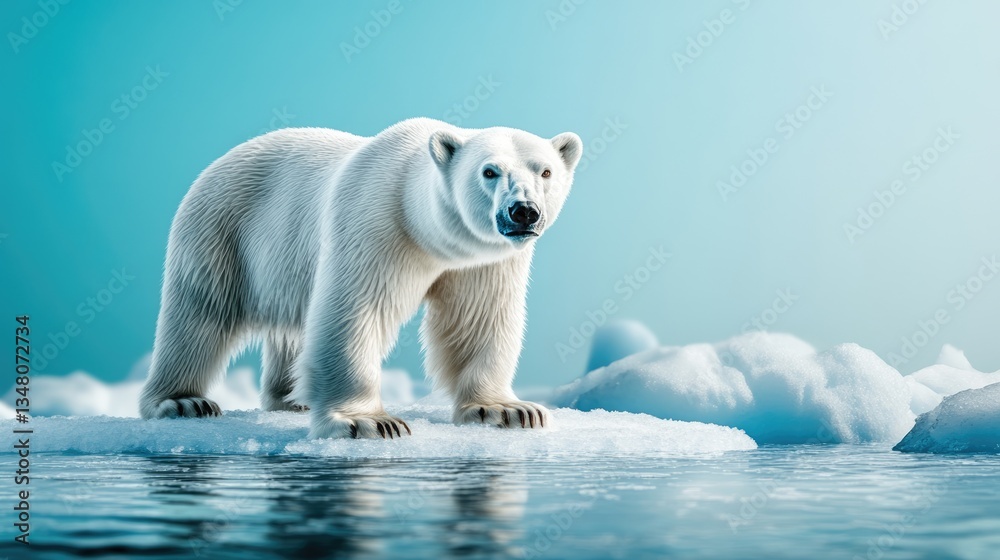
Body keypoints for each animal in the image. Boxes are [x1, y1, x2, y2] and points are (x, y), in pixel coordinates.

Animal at [139, 117, 583, 439]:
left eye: (545, 171)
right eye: (489, 171)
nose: (523, 211)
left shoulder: (480, 262)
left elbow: (479, 320)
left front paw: (508, 410)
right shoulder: (374, 224)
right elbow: (355, 311)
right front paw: (368, 421)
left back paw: (293, 399)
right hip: (221, 231)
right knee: (199, 315)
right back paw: (182, 402)